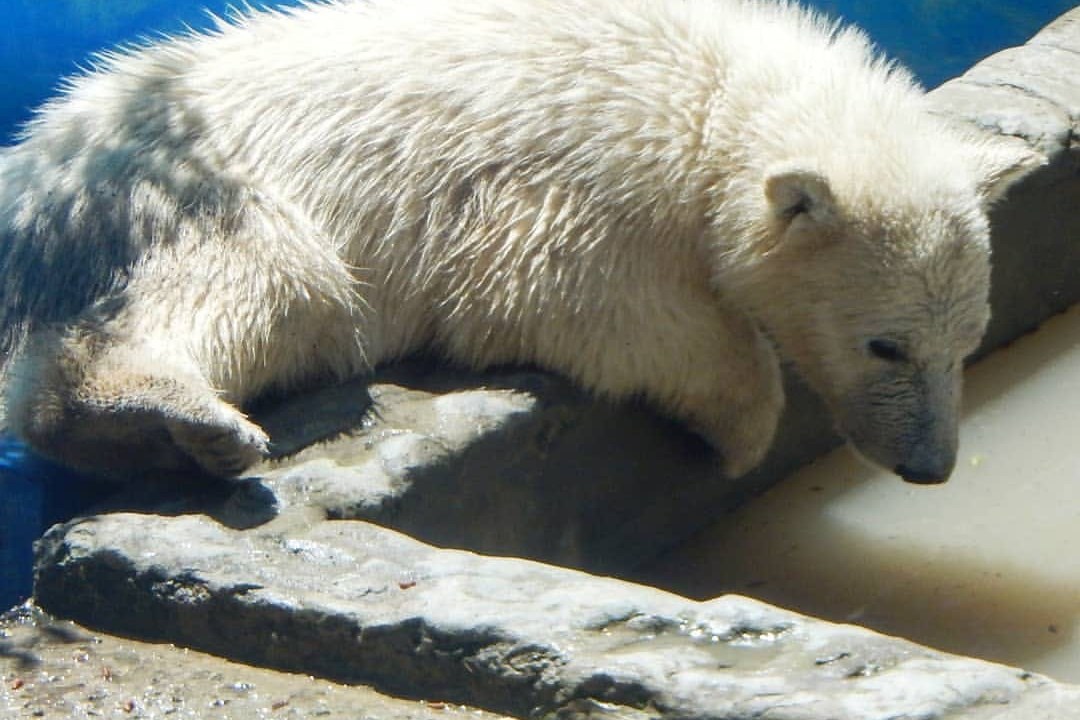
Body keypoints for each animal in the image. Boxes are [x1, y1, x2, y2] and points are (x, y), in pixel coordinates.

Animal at [0, 1, 1041, 483]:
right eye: (885, 344)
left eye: (966, 343)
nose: (930, 465)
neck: (715, 92)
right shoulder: (584, 172)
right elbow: (562, 290)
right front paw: (741, 428)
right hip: (189, 196)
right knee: (277, 284)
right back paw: (173, 418)